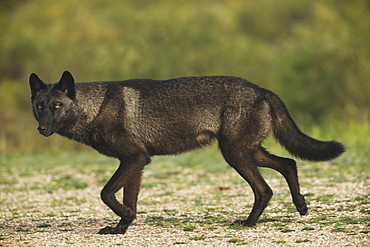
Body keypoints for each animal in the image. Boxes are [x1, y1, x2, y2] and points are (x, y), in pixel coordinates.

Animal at [28, 71, 344, 233]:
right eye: (40, 106)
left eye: (57, 106)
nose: (41, 129)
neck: (96, 108)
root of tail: (262, 90)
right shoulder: (136, 163)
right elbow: (127, 199)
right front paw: (121, 227)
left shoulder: (135, 159)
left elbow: (106, 194)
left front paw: (124, 218)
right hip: (248, 152)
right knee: (289, 163)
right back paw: (301, 206)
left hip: (236, 154)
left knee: (265, 189)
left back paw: (248, 223)